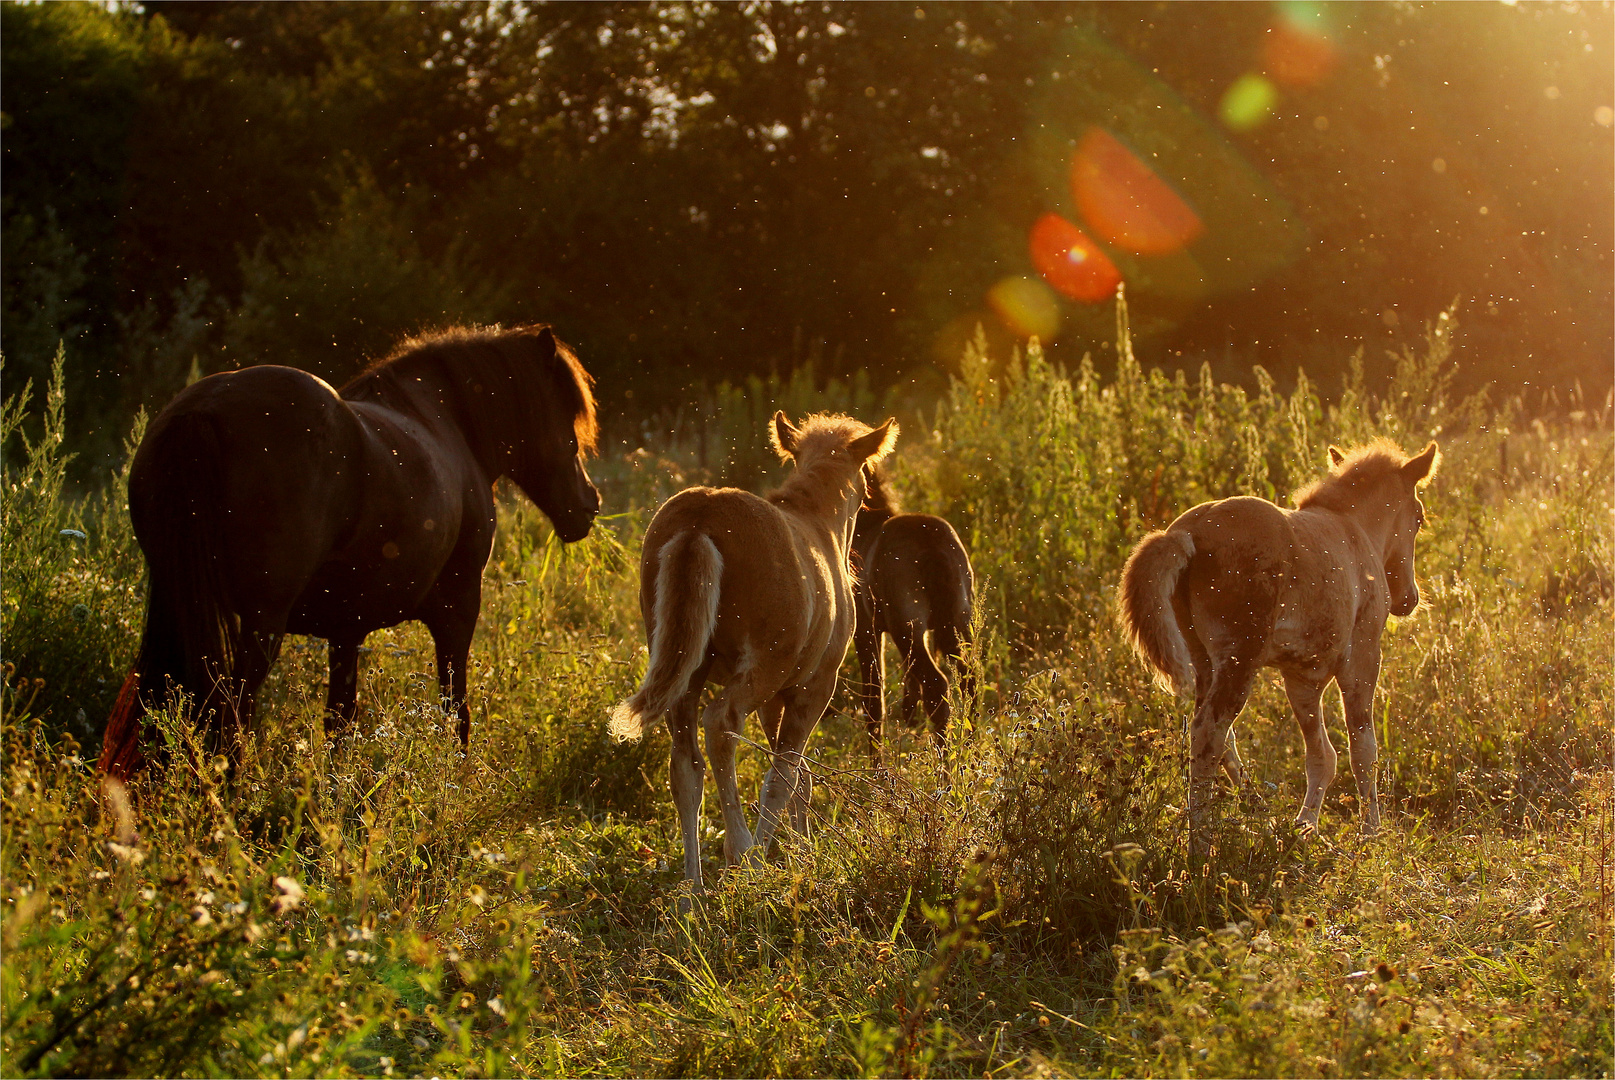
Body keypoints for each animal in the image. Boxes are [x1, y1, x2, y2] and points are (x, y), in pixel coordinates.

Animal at [102, 319, 607, 774]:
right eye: (567, 417)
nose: (590, 504)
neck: (446, 422)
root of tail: (201, 411)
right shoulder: (459, 608)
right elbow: (454, 709)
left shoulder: (346, 629)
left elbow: (340, 721)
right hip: (261, 624)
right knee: (230, 713)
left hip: (180, 607)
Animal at [610, 408, 904, 891]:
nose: (880, 504)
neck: (818, 521)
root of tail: (699, 520)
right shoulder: (812, 686)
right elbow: (782, 775)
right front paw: (779, 854)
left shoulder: (776, 696)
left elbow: (798, 775)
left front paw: (803, 849)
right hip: (760, 667)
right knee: (721, 724)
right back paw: (743, 851)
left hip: (684, 672)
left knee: (686, 768)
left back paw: (694, 890)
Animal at [852, 461, 975, 758]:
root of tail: (929, 541)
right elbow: (909, 684)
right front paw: (910, 720)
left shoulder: (865, 629)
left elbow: (874, 699)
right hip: (957, 621)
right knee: (968, 678)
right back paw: (971, 750)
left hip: (906, 627)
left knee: (936, 684)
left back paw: (945, 762)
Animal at [1124, 439, 1440, 852]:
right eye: (1418, 517)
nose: (1408, 598)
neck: (1355, 531)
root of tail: (1187, 534)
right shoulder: (1363, 657)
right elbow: (1362, 750)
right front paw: (1371, 833)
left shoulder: (1302, 677)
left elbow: (1322, 756)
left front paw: (1304, 829)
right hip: (1241, 657)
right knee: (1209, 734)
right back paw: (1201, 845)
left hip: (1204, 659)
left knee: (1217, 736)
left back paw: (1259, 814)